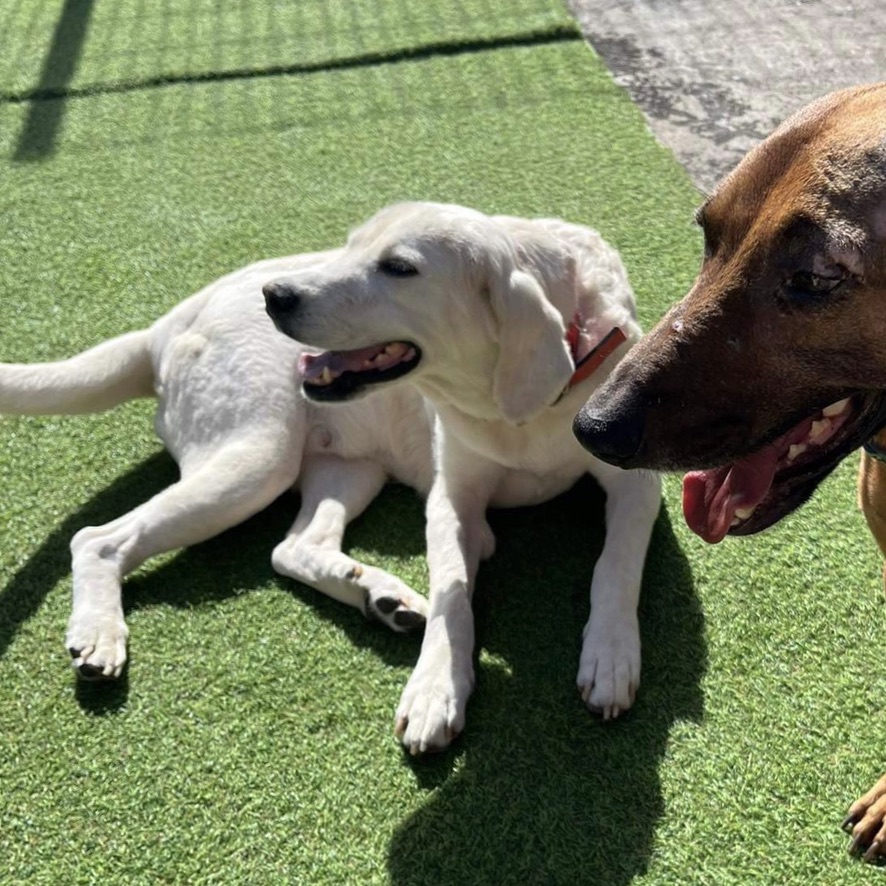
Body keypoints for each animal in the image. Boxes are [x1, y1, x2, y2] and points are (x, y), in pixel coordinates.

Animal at [264, 203, 660, 756]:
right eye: (348, 246)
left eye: (399, 268)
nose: (274, 295)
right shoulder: (450, 498)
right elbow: (450, 589)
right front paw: (435, 687)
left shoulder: (638, 480)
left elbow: (616, 564)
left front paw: (611, 650)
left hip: (347, 473)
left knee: (293, 545)